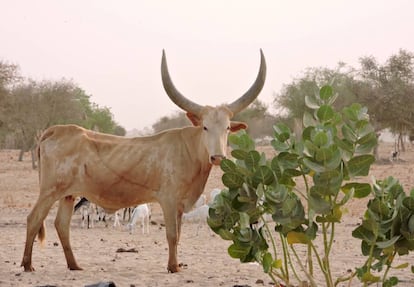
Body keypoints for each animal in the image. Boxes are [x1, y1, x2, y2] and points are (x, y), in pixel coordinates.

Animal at [21, 49, 266, 274]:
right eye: (205, 127)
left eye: (227, 128)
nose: (217, 157)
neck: (189, 150)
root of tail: (55, 130)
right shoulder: (168, 200)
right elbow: (172, 234)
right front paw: (173, 267)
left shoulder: (179, 204)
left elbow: (179, 234)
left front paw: (176, 264)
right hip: (49, 191)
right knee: (34, 218)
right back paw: (27, 265)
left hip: (68, 194)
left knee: (61, 225)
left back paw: (74, 265)